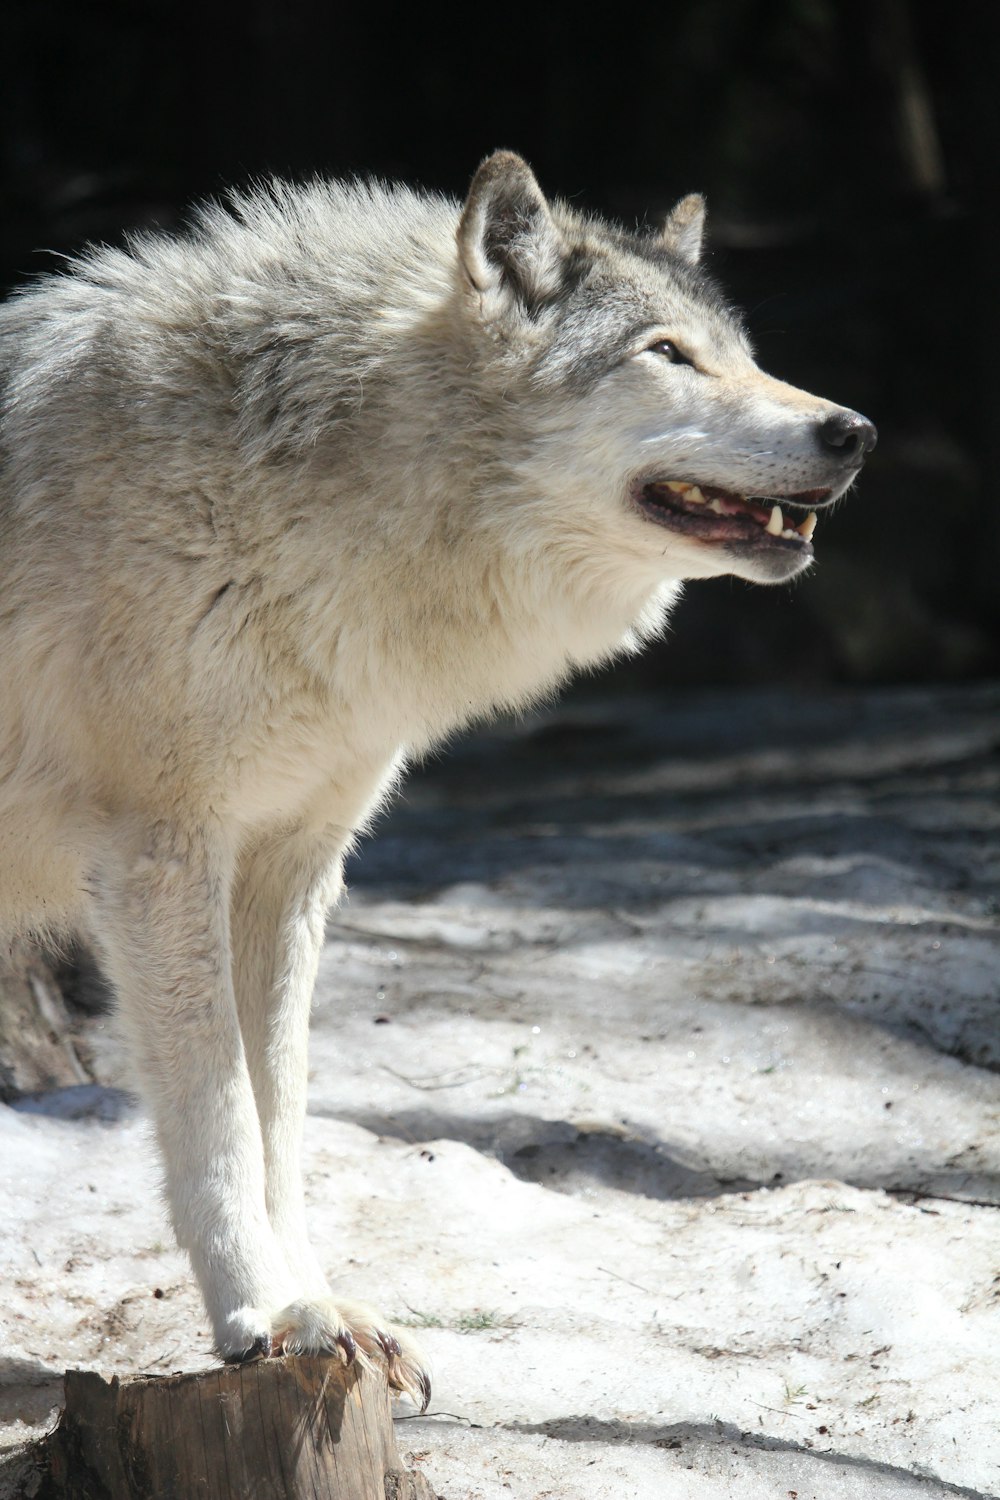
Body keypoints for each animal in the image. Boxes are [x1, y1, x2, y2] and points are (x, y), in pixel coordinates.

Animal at [0, 155, 875, 1404]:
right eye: (666, 353)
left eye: (740, 352)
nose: (854, 431)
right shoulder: (162, 856)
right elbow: (218, 1118)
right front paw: (263, 1313)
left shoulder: (288, 869)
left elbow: (279, 1119)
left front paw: (319, 1304)